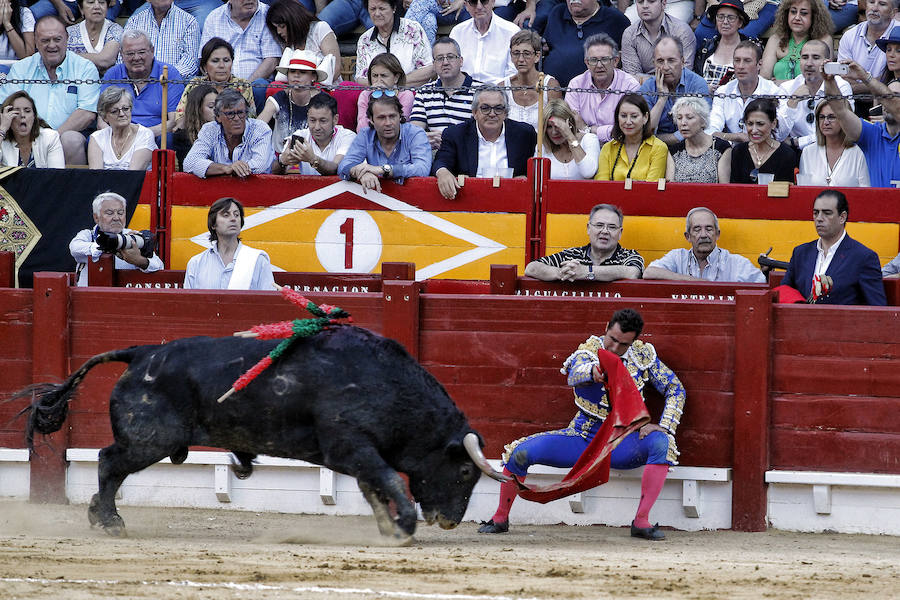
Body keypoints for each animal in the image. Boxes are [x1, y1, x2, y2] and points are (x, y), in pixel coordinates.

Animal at [15, 326, 506, 540]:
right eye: (466, 473)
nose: (451, 520)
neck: (389, 385)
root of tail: (142, 353)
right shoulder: (352, 446)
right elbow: (386, 480)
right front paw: (404, 524)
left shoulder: (355, 456)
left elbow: (374, 488)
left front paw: (388, 527)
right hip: (149, 439)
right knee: (107, 461)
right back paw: (110, 520)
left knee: (110, 465)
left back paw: (99, 514)